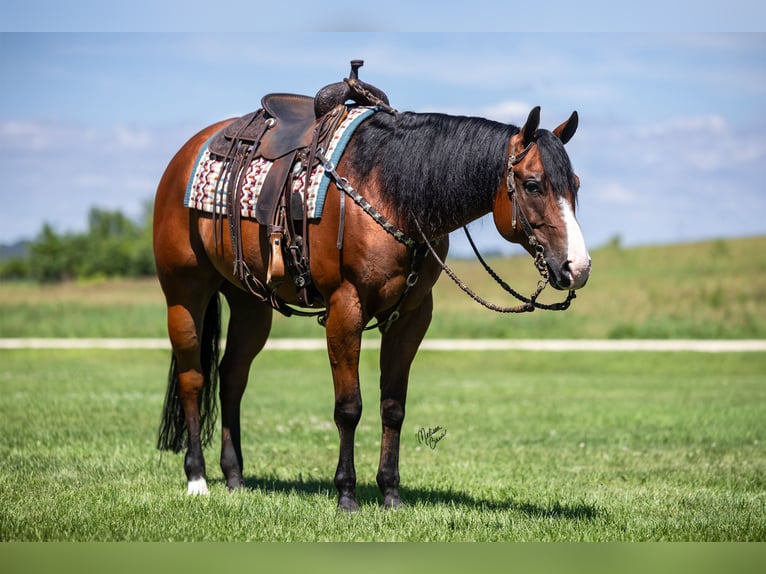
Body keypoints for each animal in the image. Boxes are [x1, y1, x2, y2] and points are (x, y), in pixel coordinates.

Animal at [153, 83, 591, 511]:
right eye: (533, 184)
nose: (578, 267)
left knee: (232, 376)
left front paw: (391, 493)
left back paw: (234, 478)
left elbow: (392, 407)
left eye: (575, 185)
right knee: (194, 378)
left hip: (250, 302)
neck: (392, 195)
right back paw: (197, 479)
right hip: (185, 294)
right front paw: (347, 494)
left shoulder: (411, 318)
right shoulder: (345, 311)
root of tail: (187, 153)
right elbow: (349, 407)